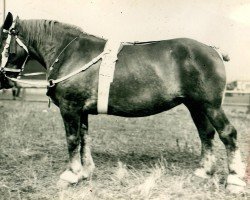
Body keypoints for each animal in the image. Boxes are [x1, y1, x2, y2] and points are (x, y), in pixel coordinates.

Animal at [0, 12, 246, 192]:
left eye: (3, 41)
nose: (3, 79)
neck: (69, 53)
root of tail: (212, 50)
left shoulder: (71, 109)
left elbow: (72, 140)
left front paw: (71, 175)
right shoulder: (82, 111)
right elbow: (84, 139)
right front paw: (85, 172)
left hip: (210, 106)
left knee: (227, 133)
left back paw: (234, 180)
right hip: (196, 106)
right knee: (206, 134)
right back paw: (204, 171)